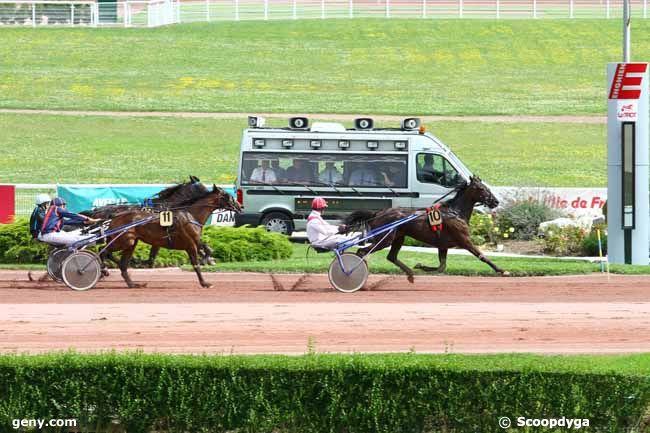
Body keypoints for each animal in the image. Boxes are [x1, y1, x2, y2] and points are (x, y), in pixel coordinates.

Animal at [104, 185, 240, 288]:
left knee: (122, 264)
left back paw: (133, 283)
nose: (240, 206)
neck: (191, 216)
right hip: (123, 241)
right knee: (105, 252)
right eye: (228, 196)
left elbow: (208, 249)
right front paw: (204, 282)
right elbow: (196, 264)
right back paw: (105, 270)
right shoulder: (190, 244)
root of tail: (114, 217)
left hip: (131, 243)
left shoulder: (194, 242)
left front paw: (207, 260)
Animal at [342, 174, 504, 282]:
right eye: (482, 189)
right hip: (385, 239)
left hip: (398, 237)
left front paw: (421, 266)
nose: (496, 201)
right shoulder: (464, 240)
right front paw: (501, 270)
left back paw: (410, 274)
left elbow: (442, 266)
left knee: (391, 256)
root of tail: (378, 213)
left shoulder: (443, 245)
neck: (455, 212)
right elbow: (482, 256)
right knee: (362, 251)